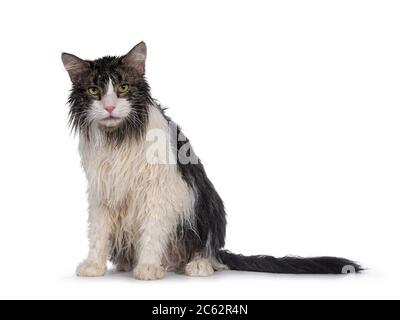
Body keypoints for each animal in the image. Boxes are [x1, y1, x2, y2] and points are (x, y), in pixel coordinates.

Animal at [62, 41, 362, 278]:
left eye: (123, 87)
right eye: (93, 91)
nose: (110, 106)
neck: (120, 135)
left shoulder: (159, 191)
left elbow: (152, 230)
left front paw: (148, 267)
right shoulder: (101, 190)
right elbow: (99, 232)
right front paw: (94, 265)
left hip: (208, 201)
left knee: (207, 250)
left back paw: (198, 265)